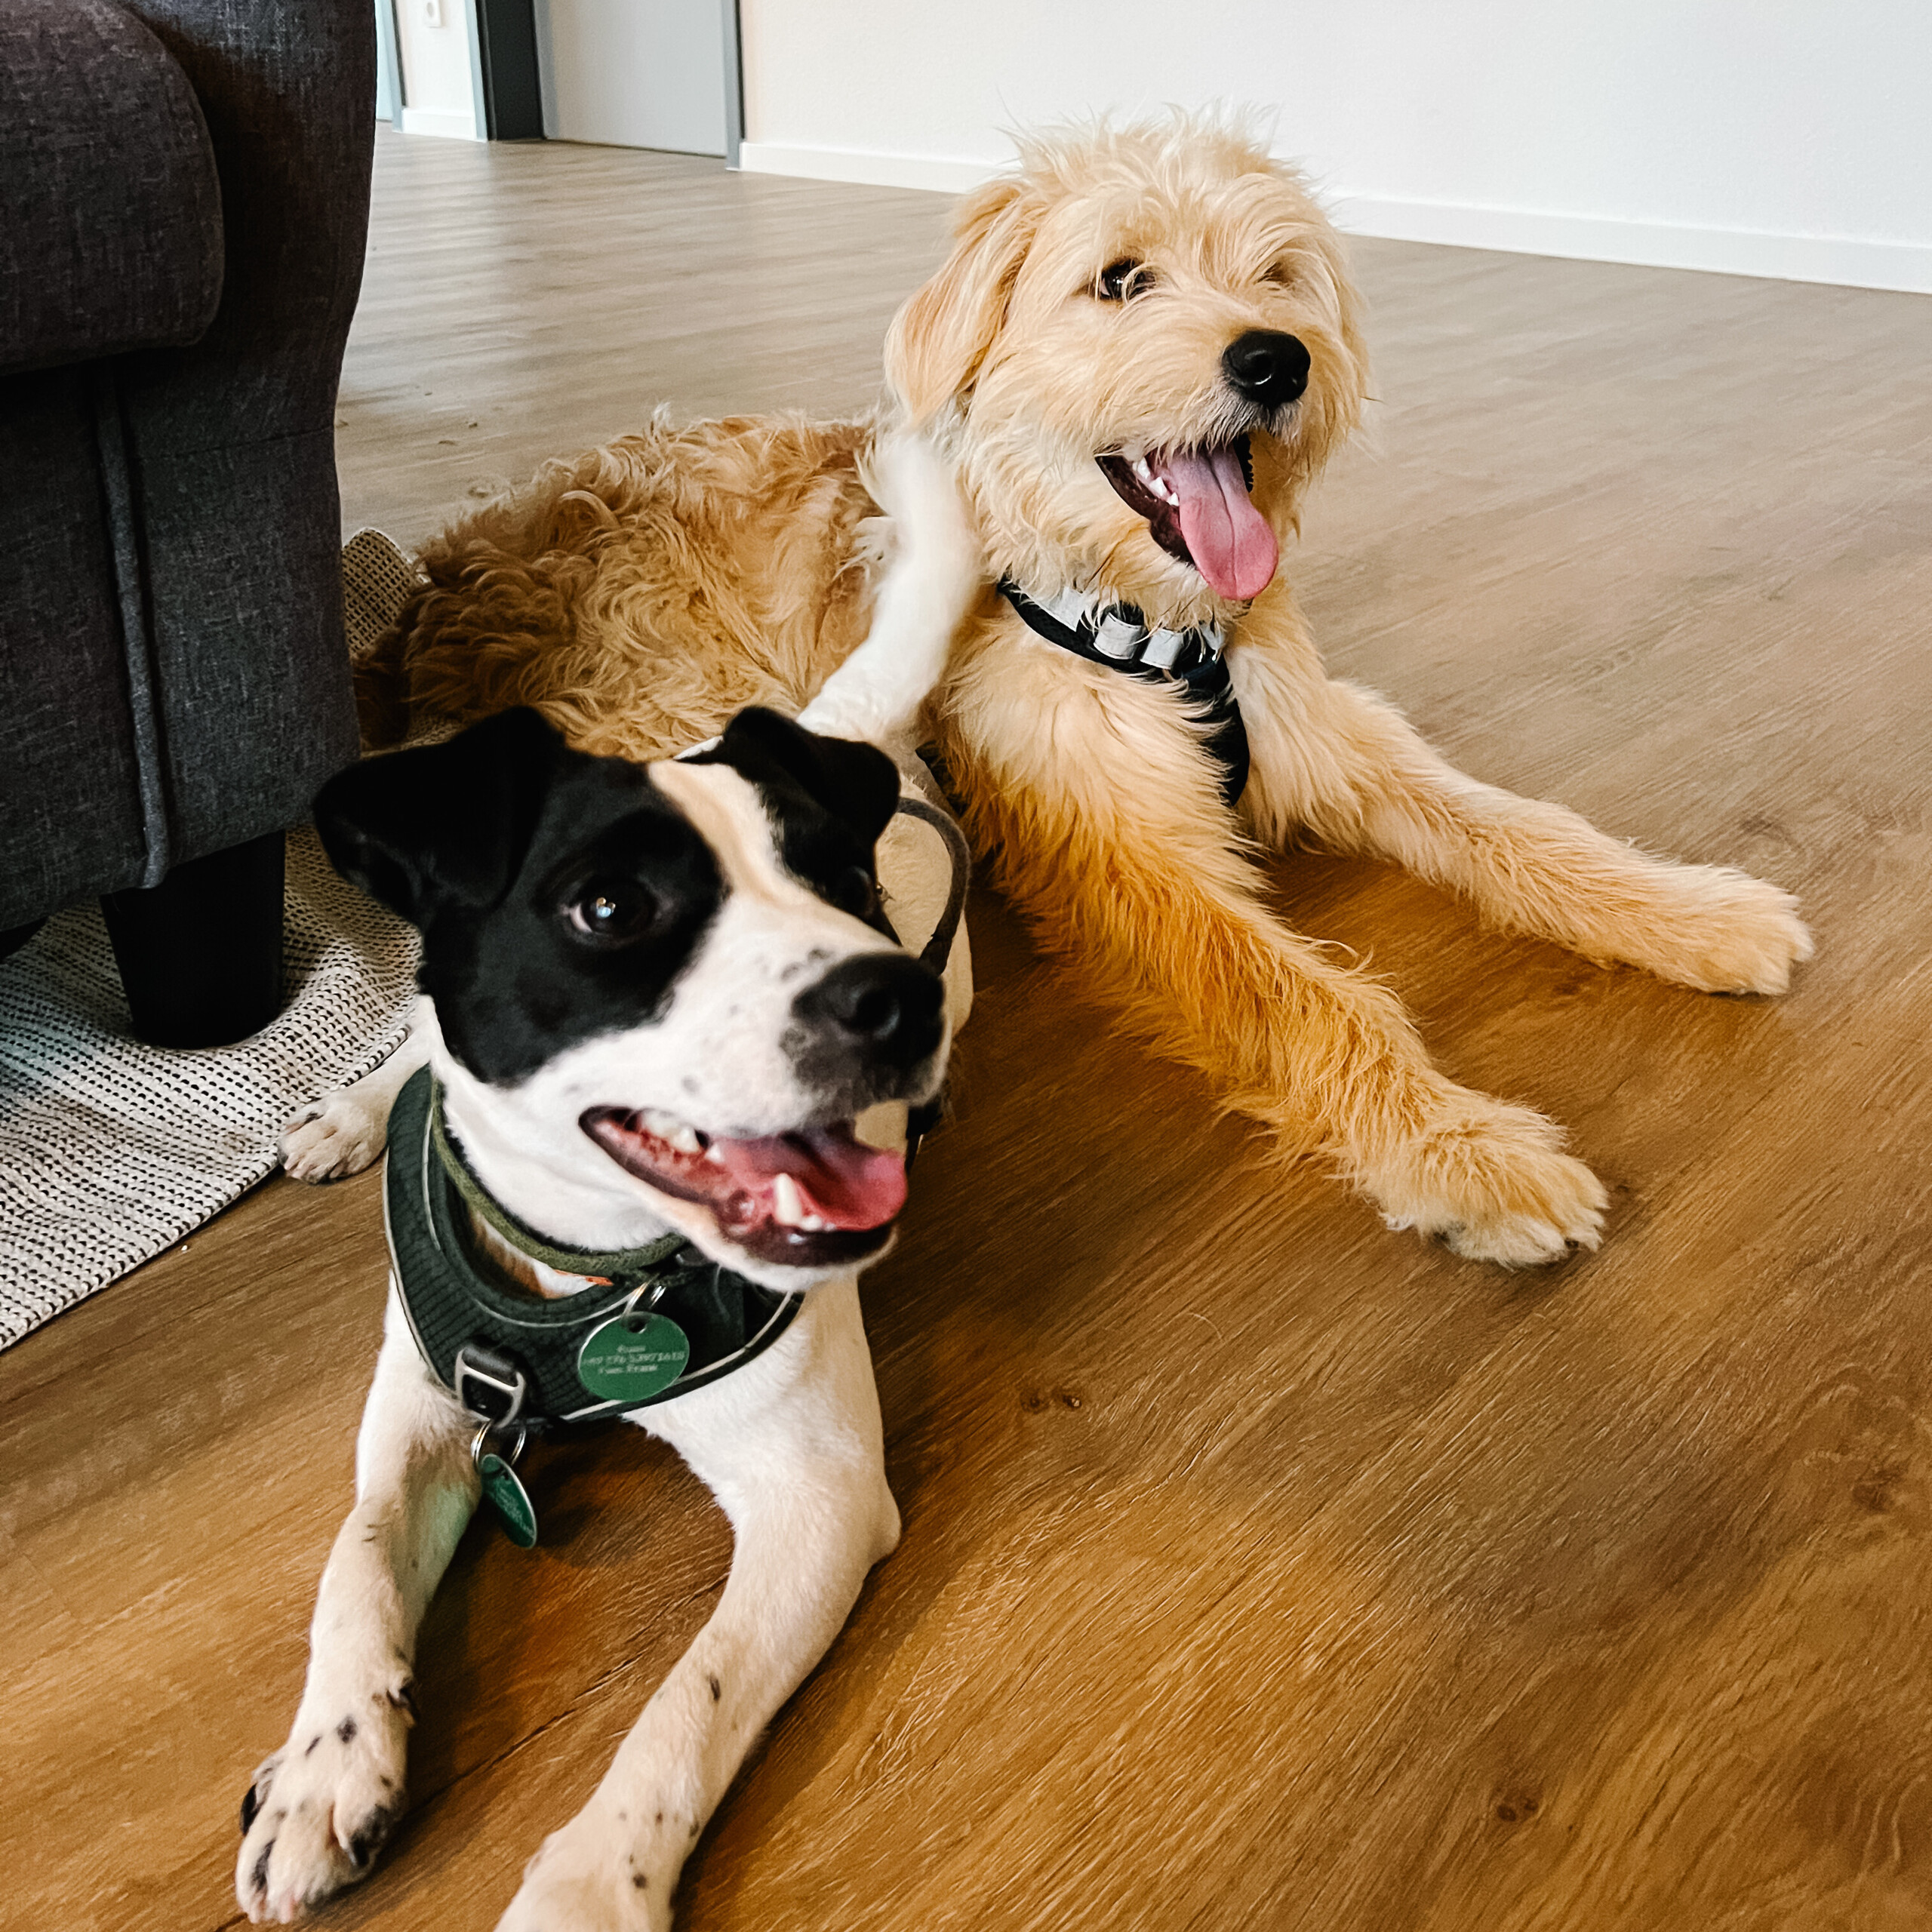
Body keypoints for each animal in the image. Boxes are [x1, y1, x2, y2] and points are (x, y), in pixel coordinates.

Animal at [354, 114, 1810, 1265]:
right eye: (1120, 279)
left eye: (1278, 273)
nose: (1277, 359)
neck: (1156, 625)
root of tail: (452, 571)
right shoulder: (1119, 849)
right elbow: (1302, 995)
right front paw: (1464, 1152)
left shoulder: (1333, 736)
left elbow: (1520, 829)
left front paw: (1696, 914)